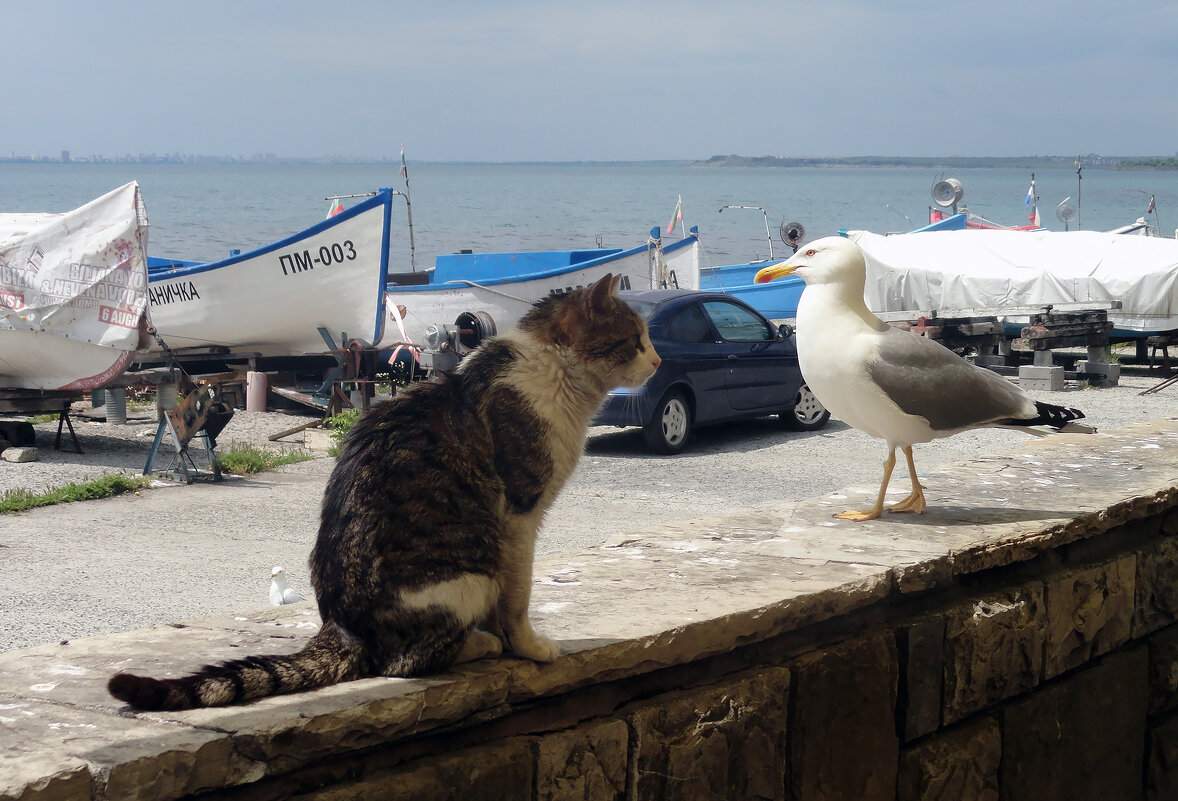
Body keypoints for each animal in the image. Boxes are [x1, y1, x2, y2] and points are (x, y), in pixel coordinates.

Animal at [108, 273, 664, 706]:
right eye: (635, 340)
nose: (659, 362)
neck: (557, 375)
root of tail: (341, 628)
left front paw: (508, 641)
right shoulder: (519, 515)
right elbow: (518, 597)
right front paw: (526, 646)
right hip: (471, 570)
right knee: (403, 662)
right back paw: (478, 645)